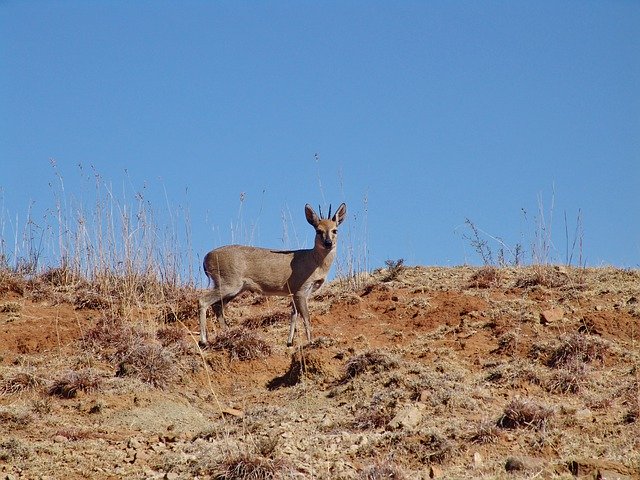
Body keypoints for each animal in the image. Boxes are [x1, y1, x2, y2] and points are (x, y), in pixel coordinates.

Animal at [200, 202, 348, 344]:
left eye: (335, 230)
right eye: (318, 230)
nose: (328, 243)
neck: (314, 262)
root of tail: (206, 258)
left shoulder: (296, 292)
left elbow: (293, 314)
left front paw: (290, 342)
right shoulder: (300, 289)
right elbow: (306, 317)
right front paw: (311, 341)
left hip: (235, 288)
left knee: (217, 306)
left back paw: (227, 334)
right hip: (229, 282)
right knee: (203, 301)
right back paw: (204, 340)